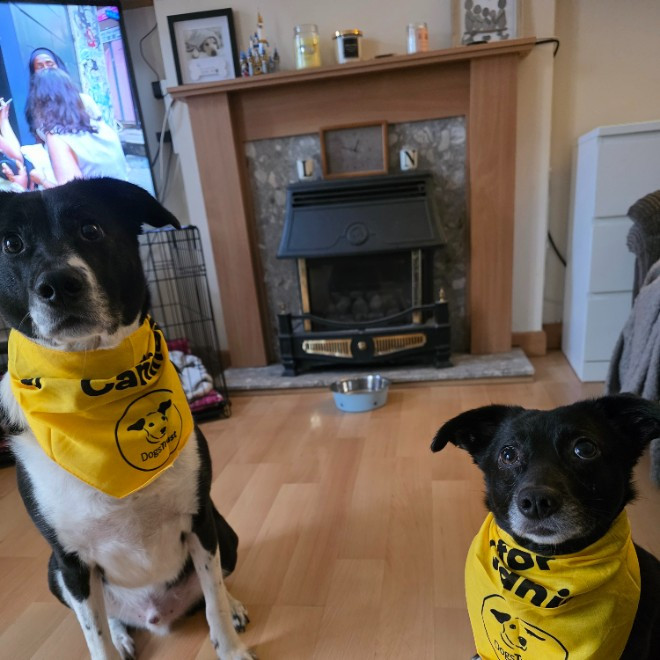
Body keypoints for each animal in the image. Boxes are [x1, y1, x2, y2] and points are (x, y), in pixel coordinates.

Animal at [0, 178, 254, 659]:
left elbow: (212, 596)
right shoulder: (71, 562)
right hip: (52, 573)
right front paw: (109, 642)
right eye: (11, 244)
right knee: (109, 615)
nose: (59, 284)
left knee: (214, 584)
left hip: (224, 529)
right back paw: (122, 633)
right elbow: (93, 633)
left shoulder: (200, 520)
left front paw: (230, 648)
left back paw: (232, 606)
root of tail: (157, 615)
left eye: (91, 229)